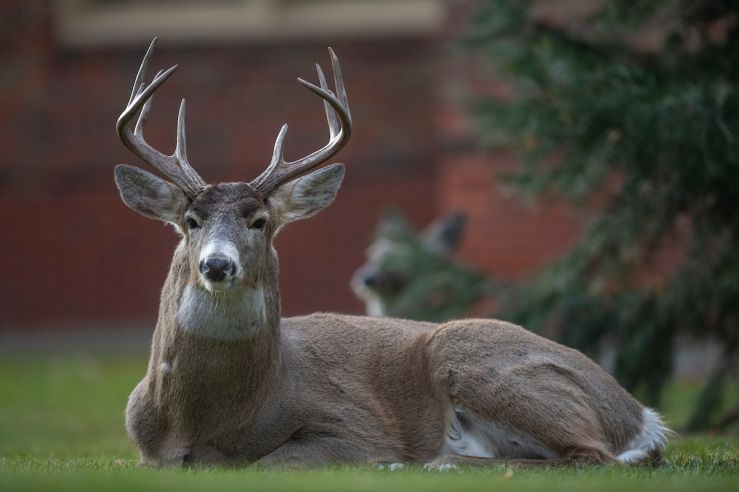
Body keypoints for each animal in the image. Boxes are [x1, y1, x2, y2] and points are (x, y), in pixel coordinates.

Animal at [114, 39, 672, 468]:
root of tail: (640, 415)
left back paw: (431, 462)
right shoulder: (144, 453)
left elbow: (272, 461)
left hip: (477, 356)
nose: (217, 264)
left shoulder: (352, 424)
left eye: (261, 222)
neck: (203, 423)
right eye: (191, 222)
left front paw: (385, 460)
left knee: (590, 455)